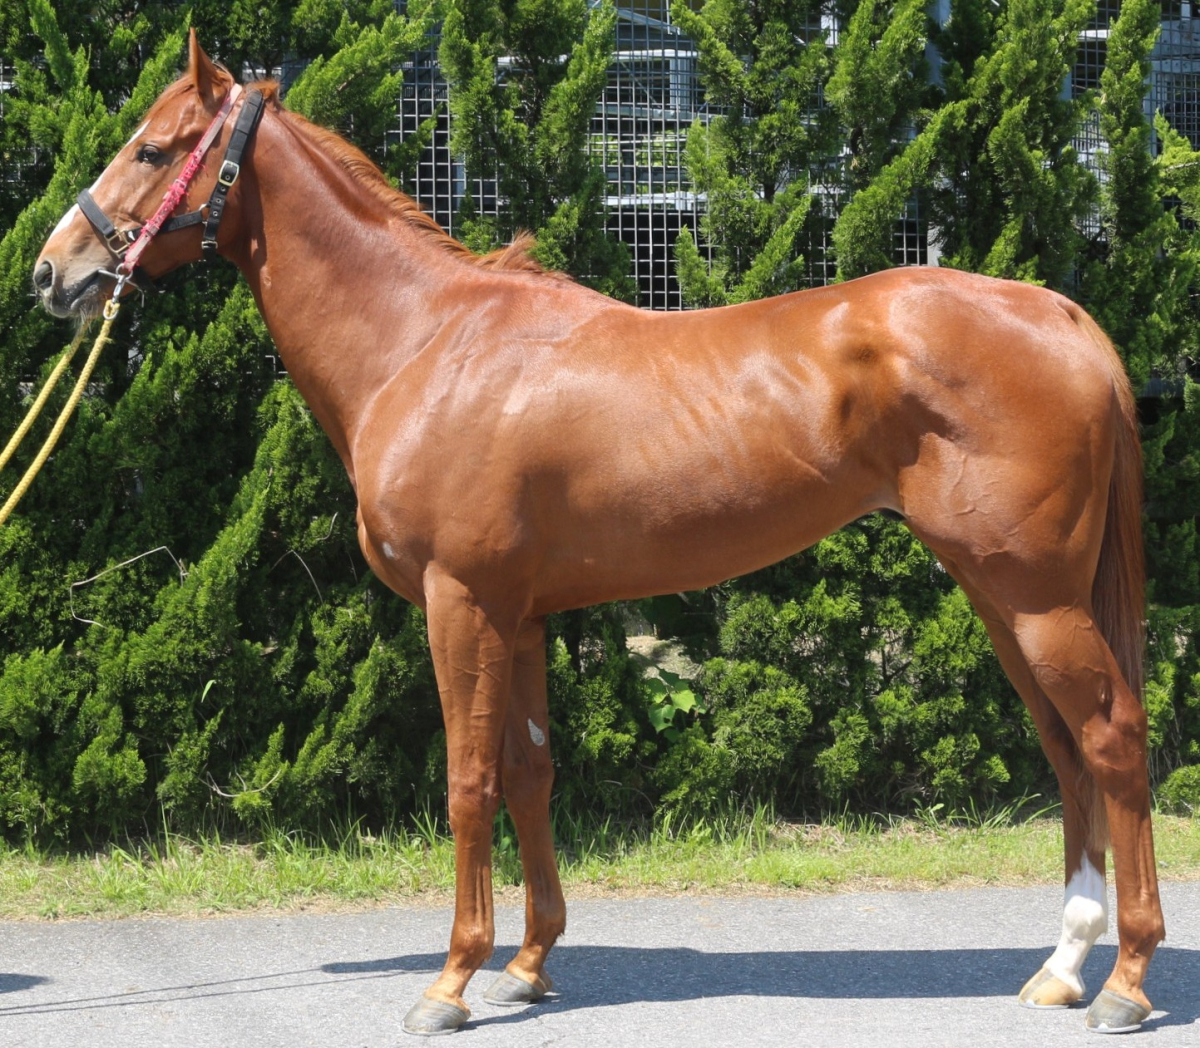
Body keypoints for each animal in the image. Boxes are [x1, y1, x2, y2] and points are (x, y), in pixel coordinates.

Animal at [33, 32, 1163, 1036]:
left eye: (151, 149)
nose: (52, 272)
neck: (428, 343)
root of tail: (1063, 316)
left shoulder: (461, 603)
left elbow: (469, 783)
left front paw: (450, 981)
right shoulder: (521, 616)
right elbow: (531, 776)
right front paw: (529, 965)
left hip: (1034, 596)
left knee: (1112, 738)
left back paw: (1124, 981)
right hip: (1000, 593)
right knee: (1066, 750)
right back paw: (1063, 968)